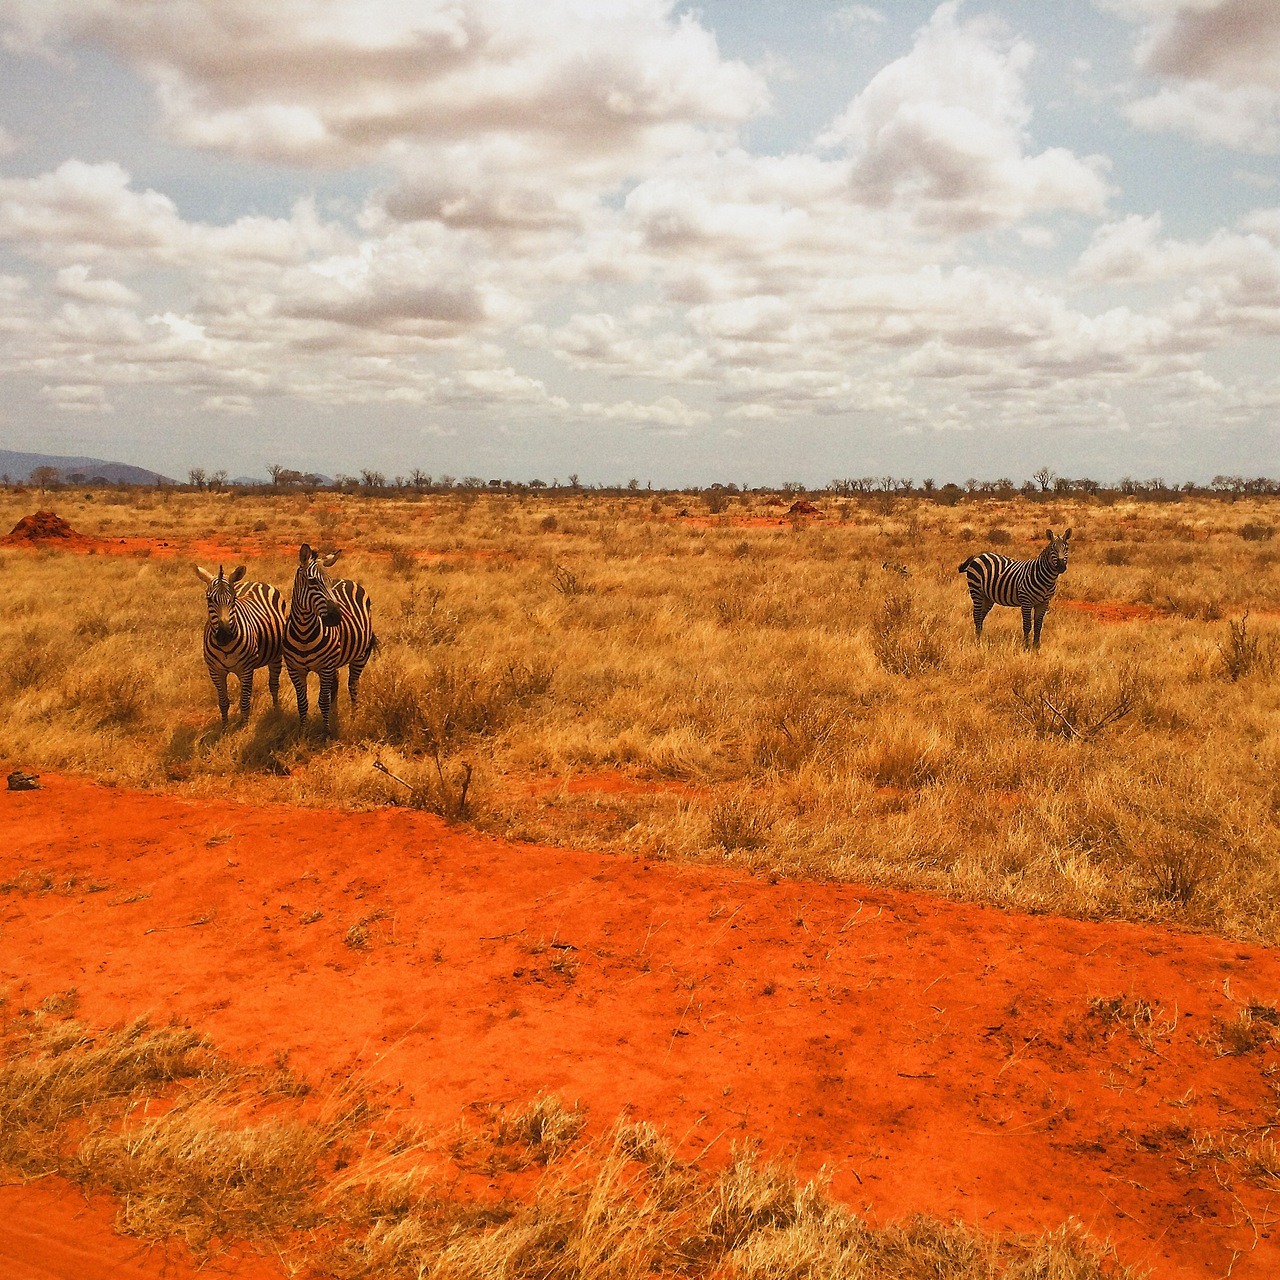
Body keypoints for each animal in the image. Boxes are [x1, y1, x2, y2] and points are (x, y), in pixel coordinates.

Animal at [194, 563, 288, 727]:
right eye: (209, 599)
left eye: (233, 599)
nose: (224, 636)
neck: (225, 647)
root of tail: (256, 582)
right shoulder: (215, 671)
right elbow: (223, 702)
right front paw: (225, 727)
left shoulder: (246, 669)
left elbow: (244, 701)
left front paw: (244, 727)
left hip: (275, 656)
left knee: (273, 684)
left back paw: (276, 710)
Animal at [284, 542, 376, 742]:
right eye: (312, 582)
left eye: (329, 582)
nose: (336, 617)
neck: (304, 633)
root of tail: (348, 580)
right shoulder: (295, 670)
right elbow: (302, 702)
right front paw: (302, 732)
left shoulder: (325, 668)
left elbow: (322, 701)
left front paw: (326, 733)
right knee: (336, 685)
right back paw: (334, 715)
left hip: (360, 655)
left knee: (352, 685)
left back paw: (354, 716)